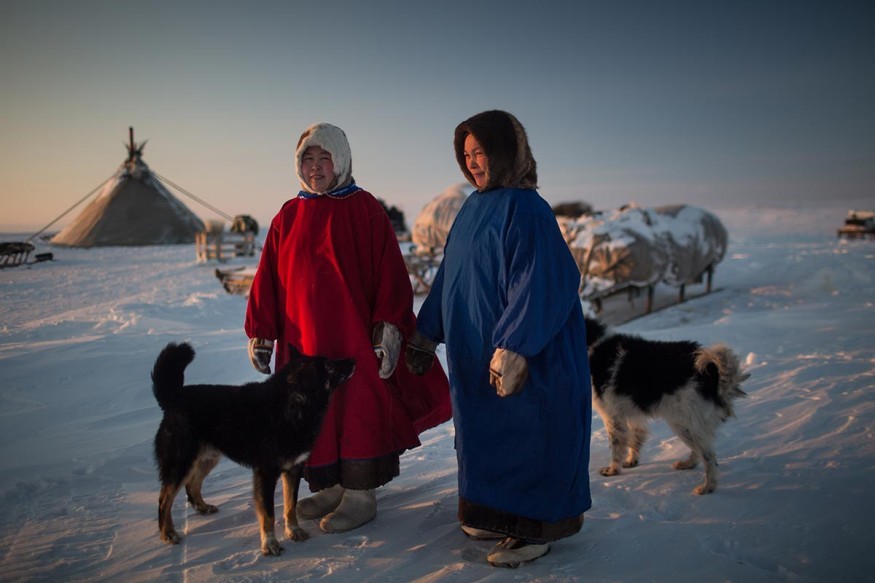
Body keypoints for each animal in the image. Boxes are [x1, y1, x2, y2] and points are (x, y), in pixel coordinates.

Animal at [152, 342, 354, 556]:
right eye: (328, 366)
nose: (353, 360)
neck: (290, 406)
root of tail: (173, 398)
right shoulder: (266, 474)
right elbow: (268, 514)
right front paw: (269, 543)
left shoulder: (292, 470)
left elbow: (290, 506)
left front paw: (293, 531)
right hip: (181, 463)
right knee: (164, 499)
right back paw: (168, 533)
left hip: (207, 458)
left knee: (192, 484)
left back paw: (202, 507)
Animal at [584, 320, 748, 498]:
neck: (592, 343)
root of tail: (711, 374)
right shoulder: (630, 413)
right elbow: (636, 438)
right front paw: (631, 461)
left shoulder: (612, 415)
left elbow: (616, 445)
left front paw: (613, 470)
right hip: (685, 423)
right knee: (698, 451)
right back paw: (687, 464)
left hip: (684, 421)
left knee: (709, 456)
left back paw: (707, 487)